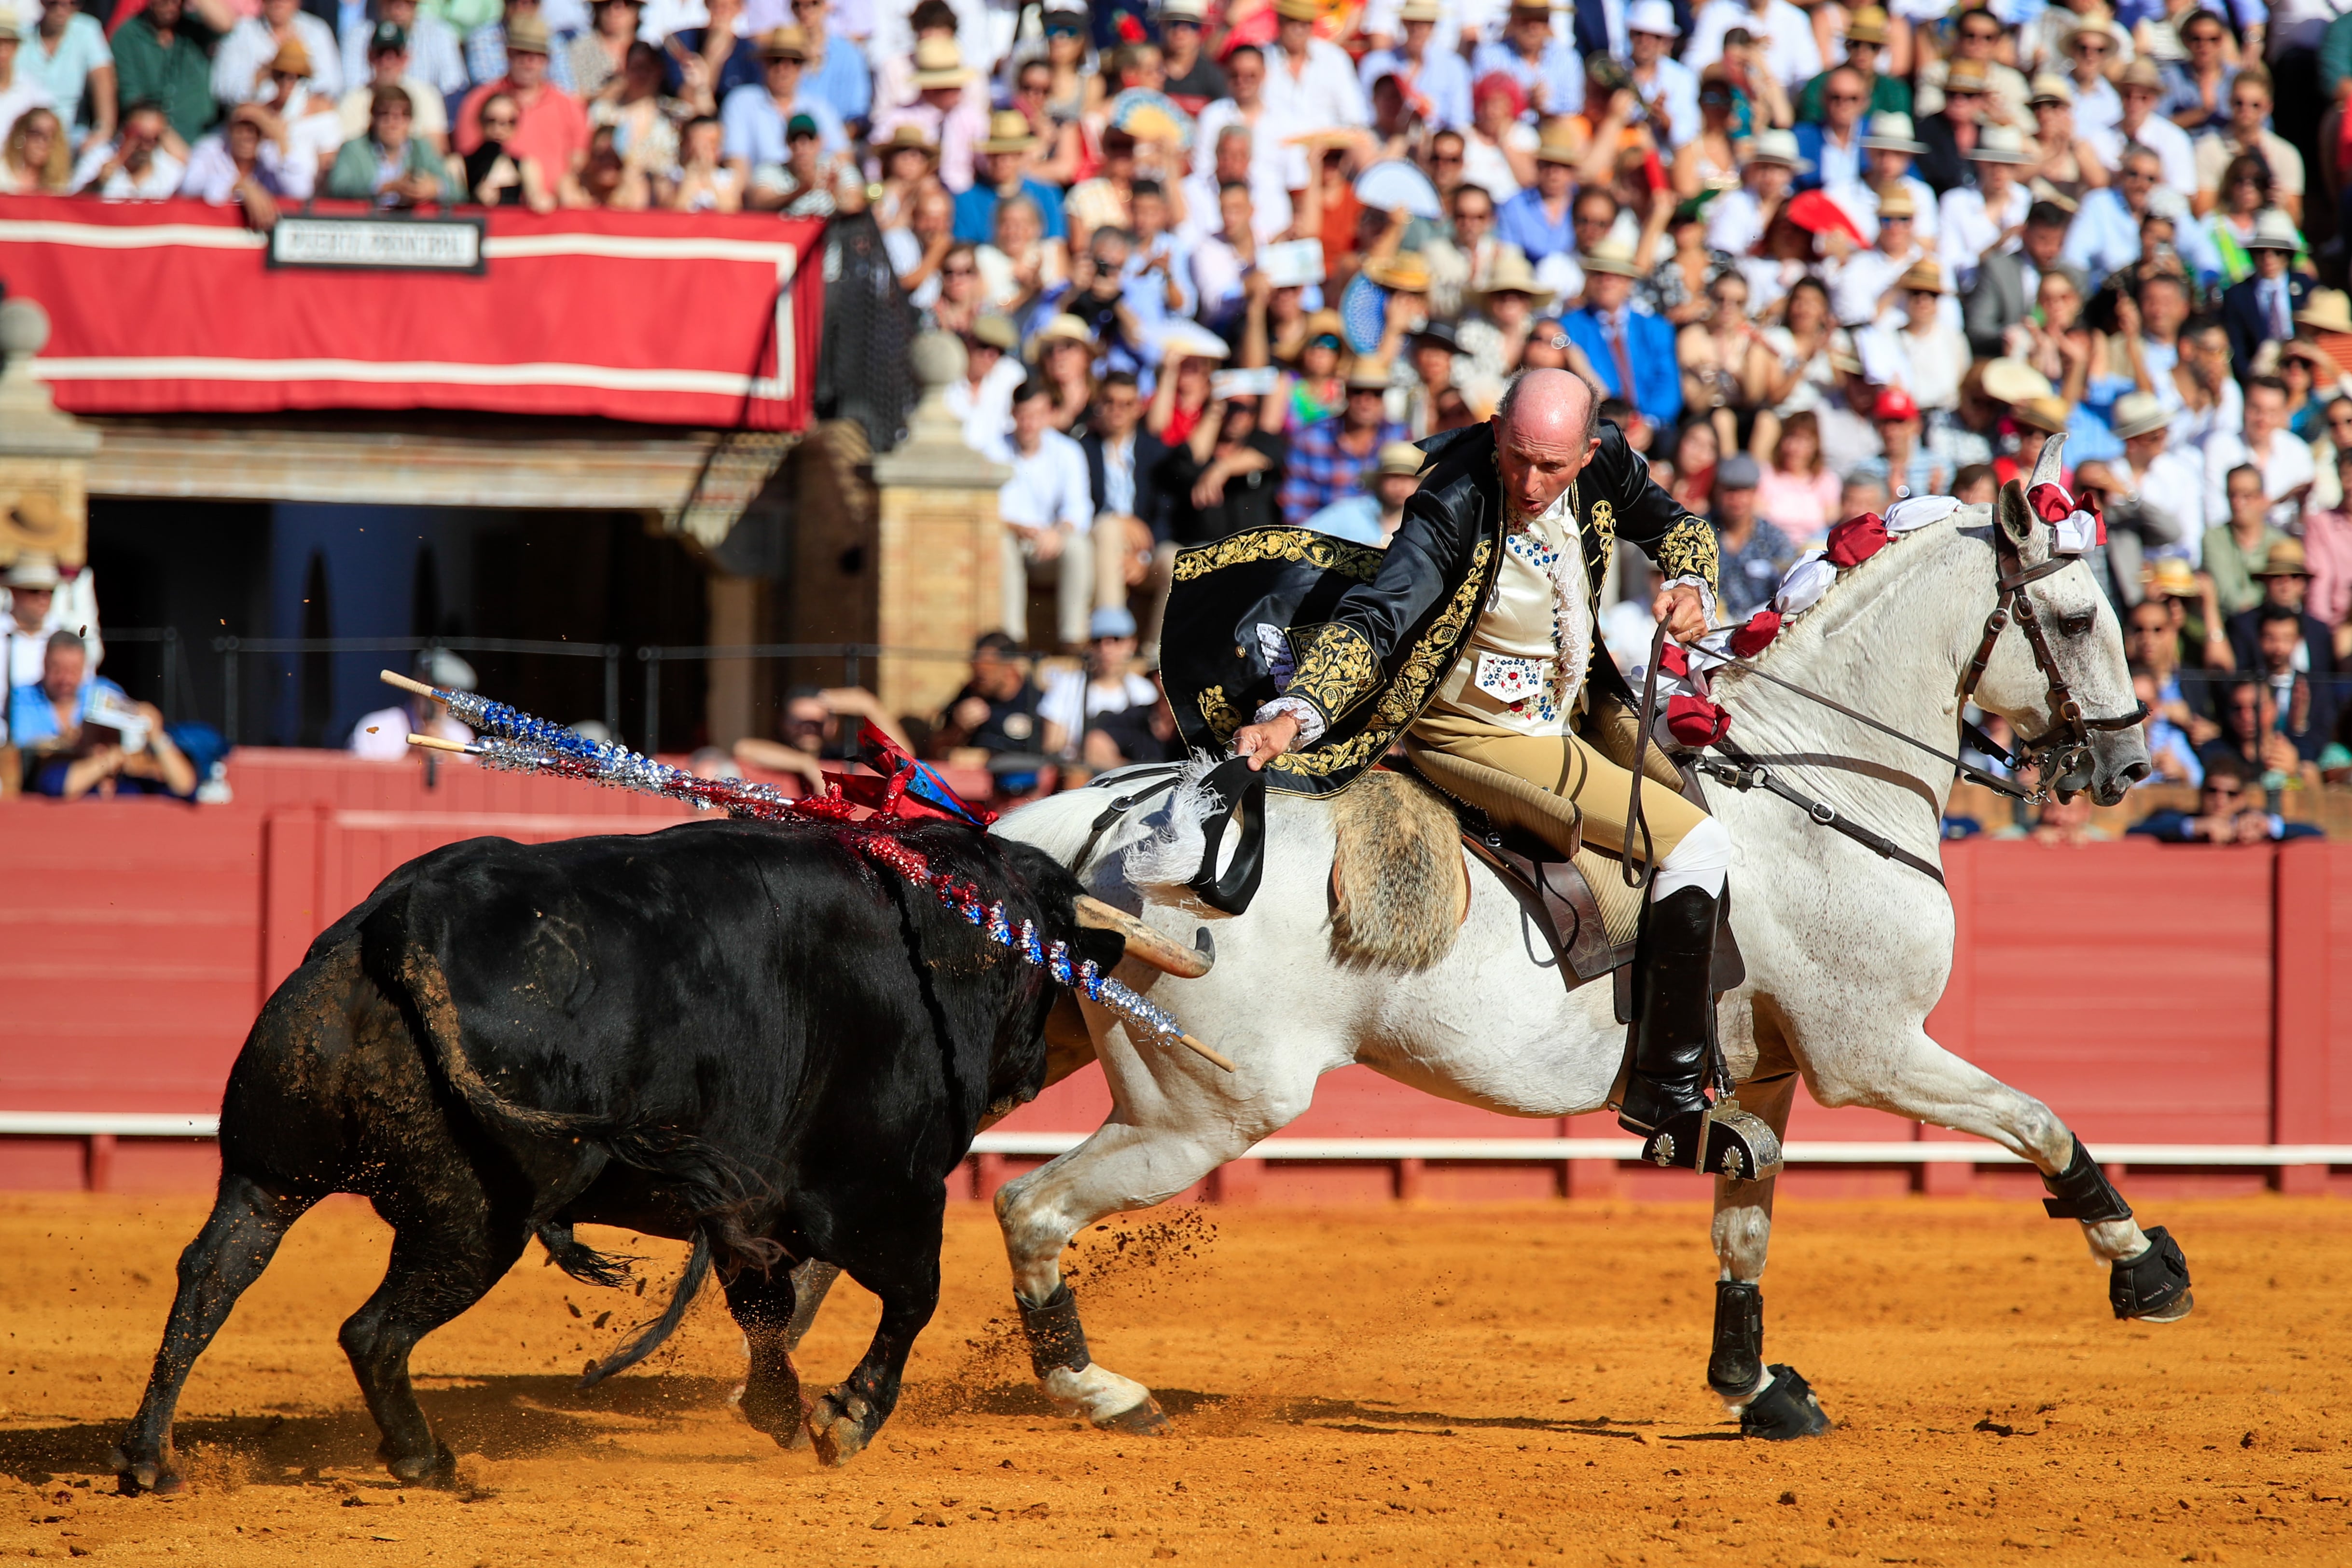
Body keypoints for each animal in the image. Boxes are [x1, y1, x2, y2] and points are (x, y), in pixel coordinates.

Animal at [114, 818, 1124, 1495]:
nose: (1030, 1069)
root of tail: (401, 921)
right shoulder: (882, 1190)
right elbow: (911, 1295)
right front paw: (844, 1417)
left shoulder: (759, 1210)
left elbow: (765, 1311)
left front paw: (777, 1411)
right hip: (473, 1222)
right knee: (373, 1331)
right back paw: (426, 1461)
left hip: (267, 1171)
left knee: (212, 1275)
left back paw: (150, 1459)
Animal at [978, 461, 2183, 1439]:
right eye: (2080, 616)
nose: (2128, 766)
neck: (1818, 786)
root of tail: (1105, 816)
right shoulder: (1872, 1050)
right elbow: (2037, 1117)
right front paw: (2143, 1268)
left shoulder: (1771, 1076)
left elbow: (1745, 1230)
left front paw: (1753, 1385)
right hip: (1206, 1108)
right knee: (1028, 1204)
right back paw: (1100, 1389)